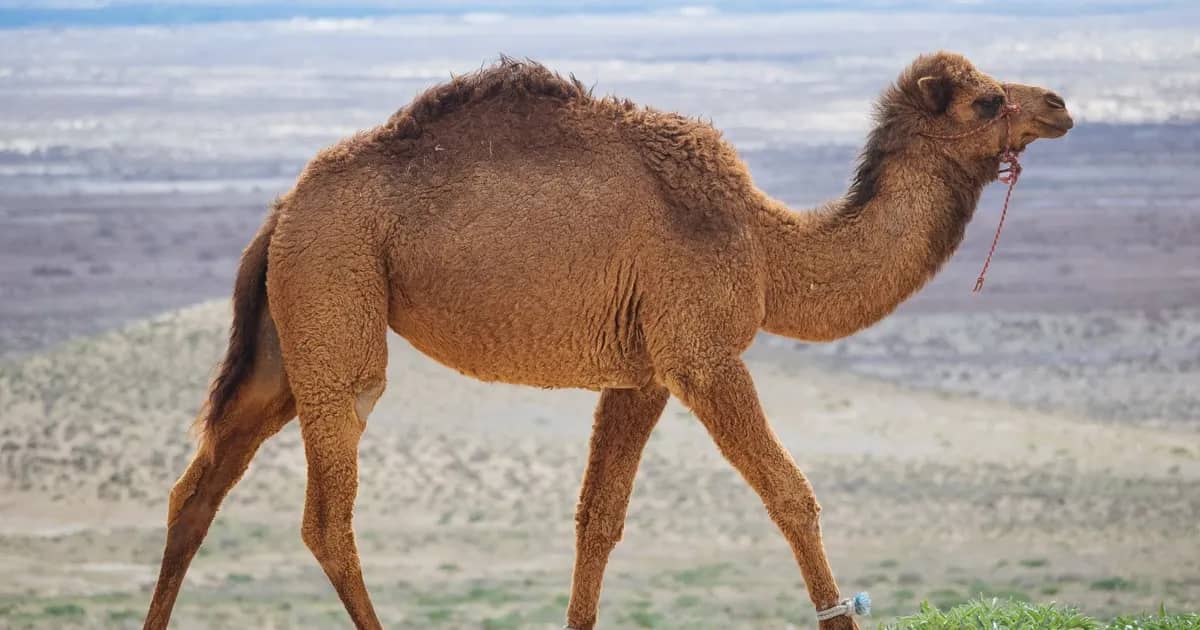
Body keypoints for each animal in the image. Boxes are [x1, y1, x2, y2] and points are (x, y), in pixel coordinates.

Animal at [142, 51, 1073, 630]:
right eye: (989, 100)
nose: (1061, 104)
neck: (767, 246)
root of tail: (282, 210)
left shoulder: (643, 373)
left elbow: (599, 520)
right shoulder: (703, 353)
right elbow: (791, 496)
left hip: (285, 329)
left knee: (199, 486)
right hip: (336, 288)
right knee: (327, 512)